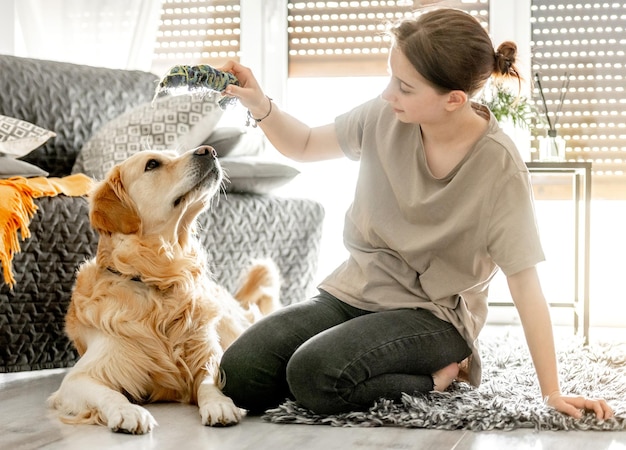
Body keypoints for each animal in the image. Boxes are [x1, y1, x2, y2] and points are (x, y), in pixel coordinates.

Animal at [48, 146, 280, 434]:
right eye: (152, 164)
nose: (209, 151)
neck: (158, 279)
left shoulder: (206, 353)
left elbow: (209, 382)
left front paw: (219, 404)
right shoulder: (80, 377)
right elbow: (108, 393)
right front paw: (127, 411)